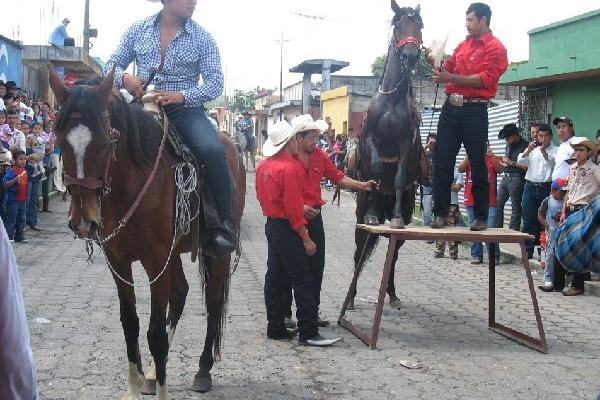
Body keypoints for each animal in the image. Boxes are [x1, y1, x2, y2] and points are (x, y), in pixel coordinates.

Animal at [47, 67, 244, 398]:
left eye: (105, 142)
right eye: (60, 142)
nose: (84, 221)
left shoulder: (155, 262)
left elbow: (156, 334)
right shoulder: (119, 261)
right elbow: (131, 324)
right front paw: (135, 385)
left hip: (217, 253)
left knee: (214, 303)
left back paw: (203, 370)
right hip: (173, 253)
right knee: (181, 293)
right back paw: (152, 373)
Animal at [344, 0, 424, 310]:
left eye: (420, 26)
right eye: (398, 25)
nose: (411, 56)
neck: (392, 98)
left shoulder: (404, 143)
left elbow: (399, 176)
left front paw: (398, 217)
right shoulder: (371, 138)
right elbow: (378, 168)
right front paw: (373, 212)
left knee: (394, 253)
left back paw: (391, 293)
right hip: (358, 218)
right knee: (359, 250)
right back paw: (352, 297)